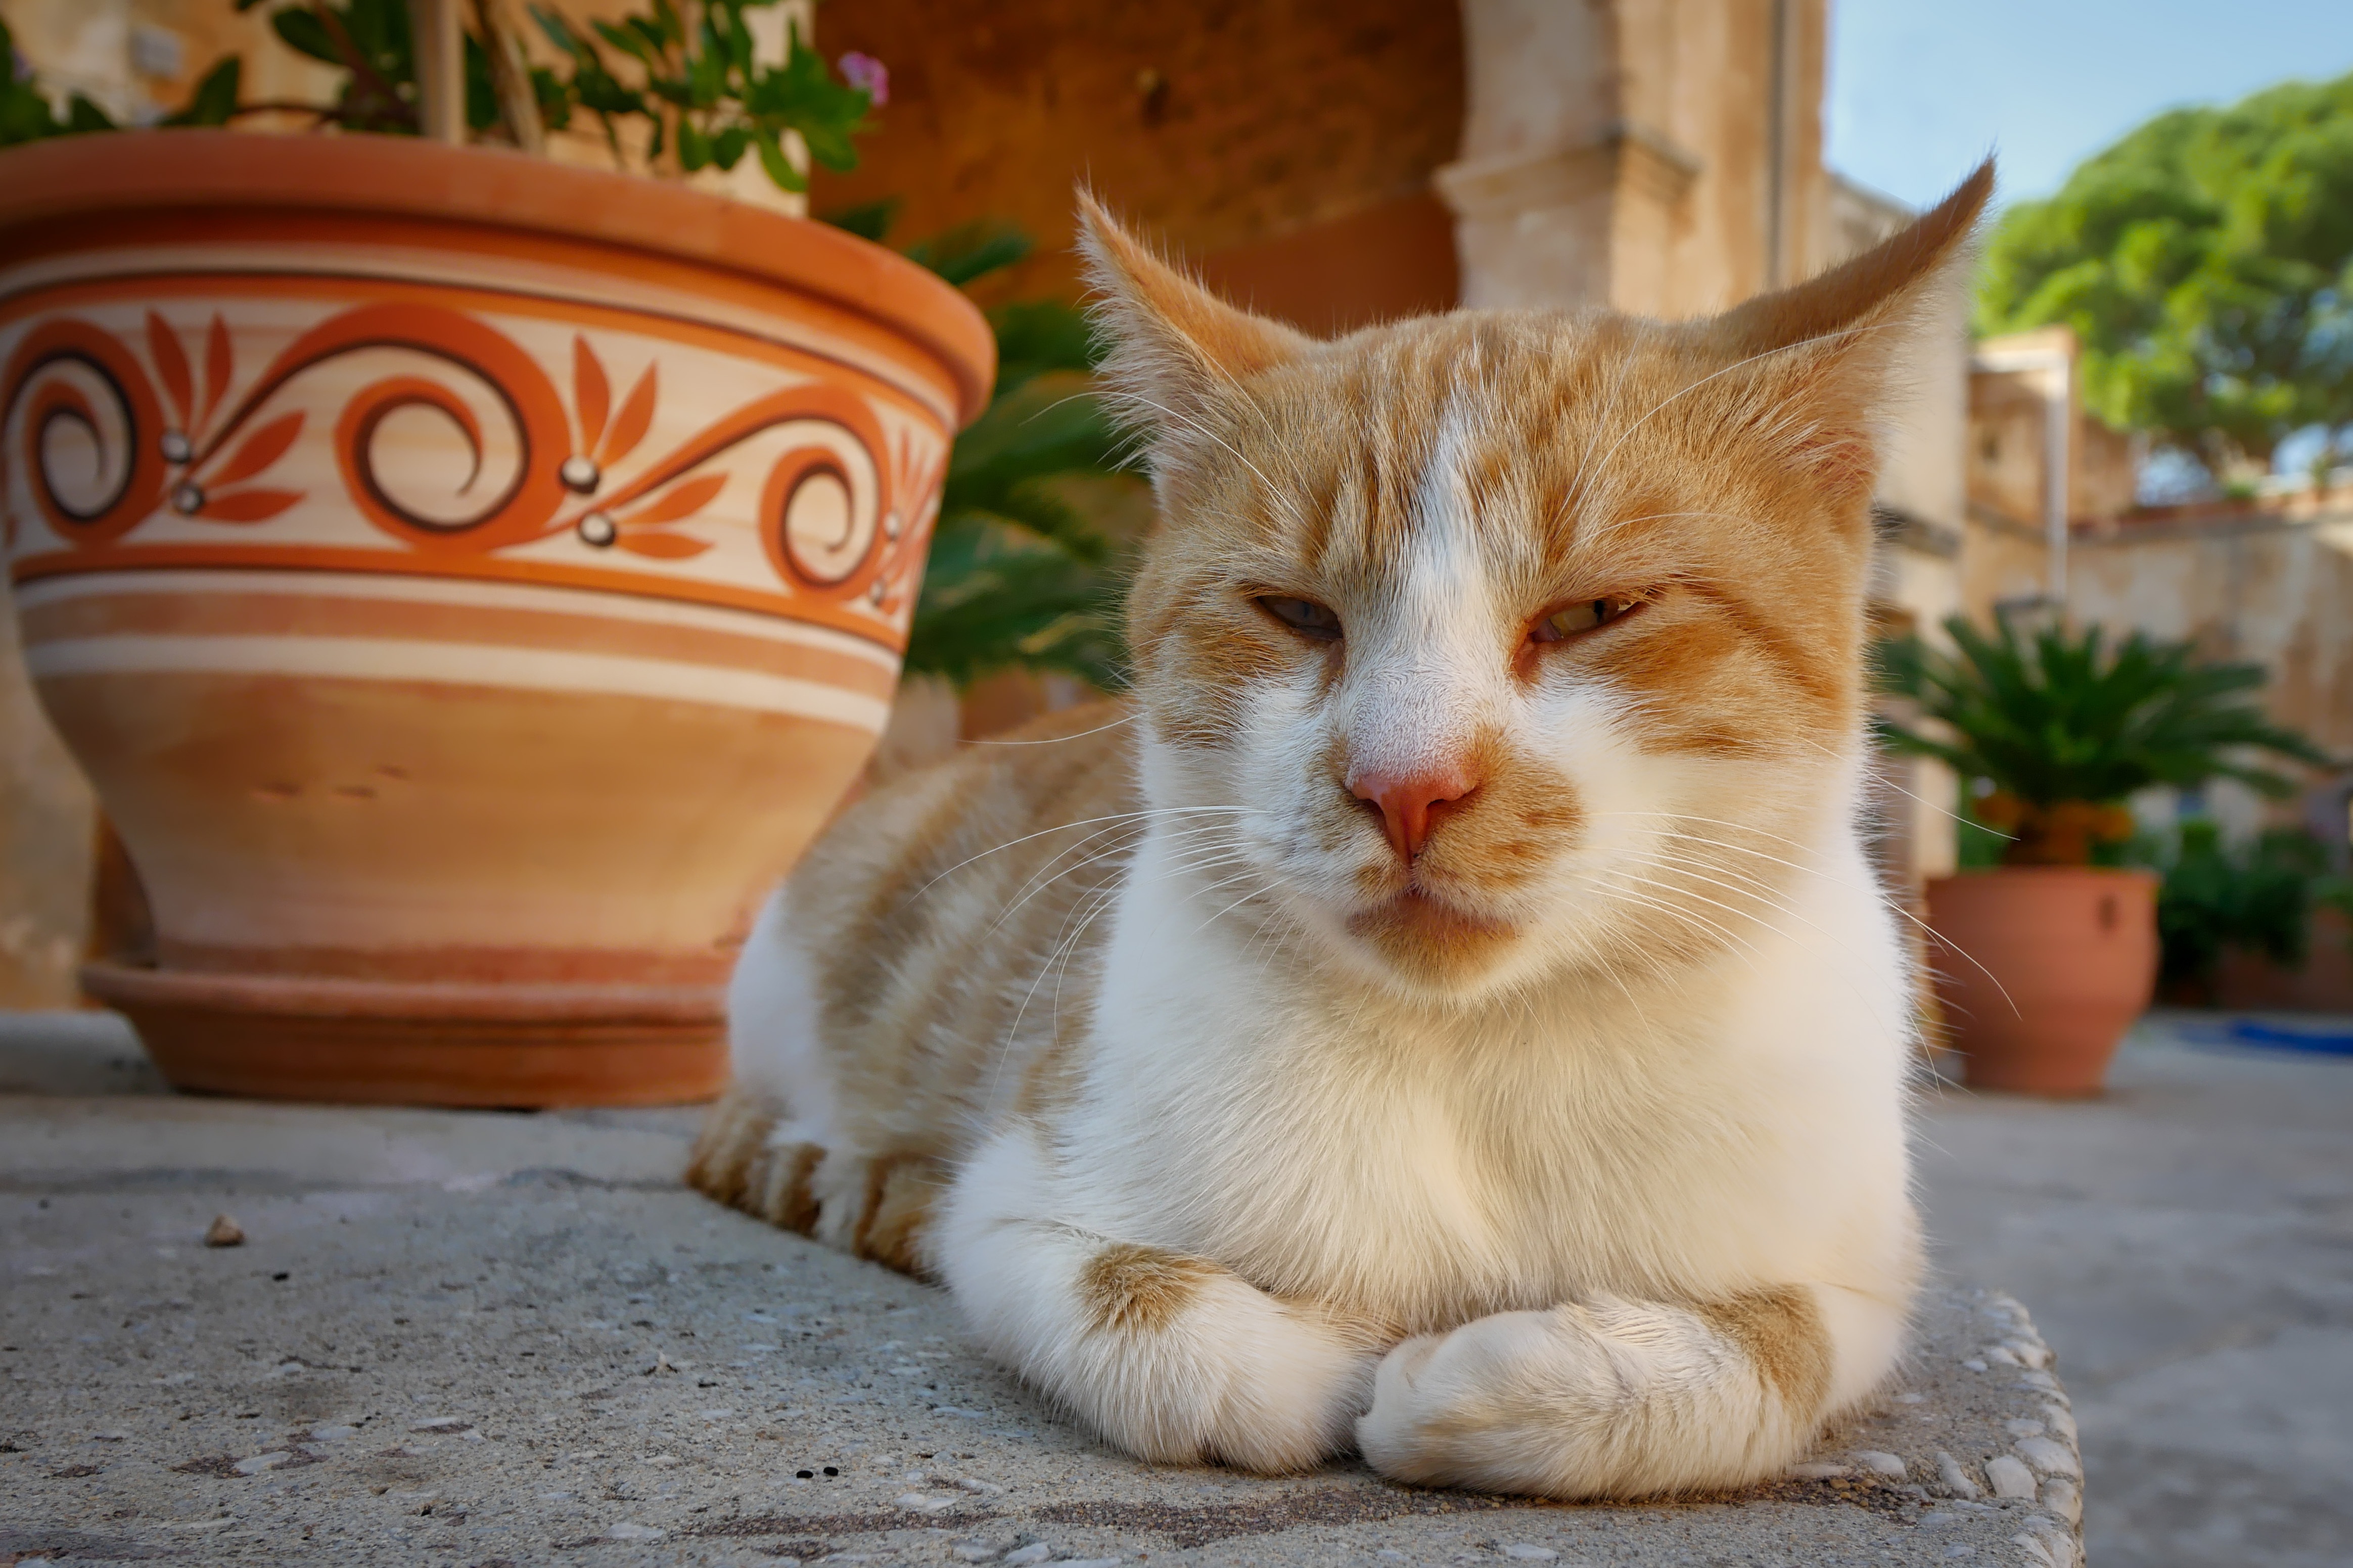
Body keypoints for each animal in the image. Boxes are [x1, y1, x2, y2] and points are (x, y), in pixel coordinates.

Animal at [687, 156, 1995, 1495]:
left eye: (1595, 612)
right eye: (1296, 614)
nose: (1405, 782)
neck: (1474, 1061)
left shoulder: (1863, 1277)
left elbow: (1769, 1350)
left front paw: (1496, 1378)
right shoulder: (1013, 1199)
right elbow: (1150, 1321)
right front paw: (1321, 1358)